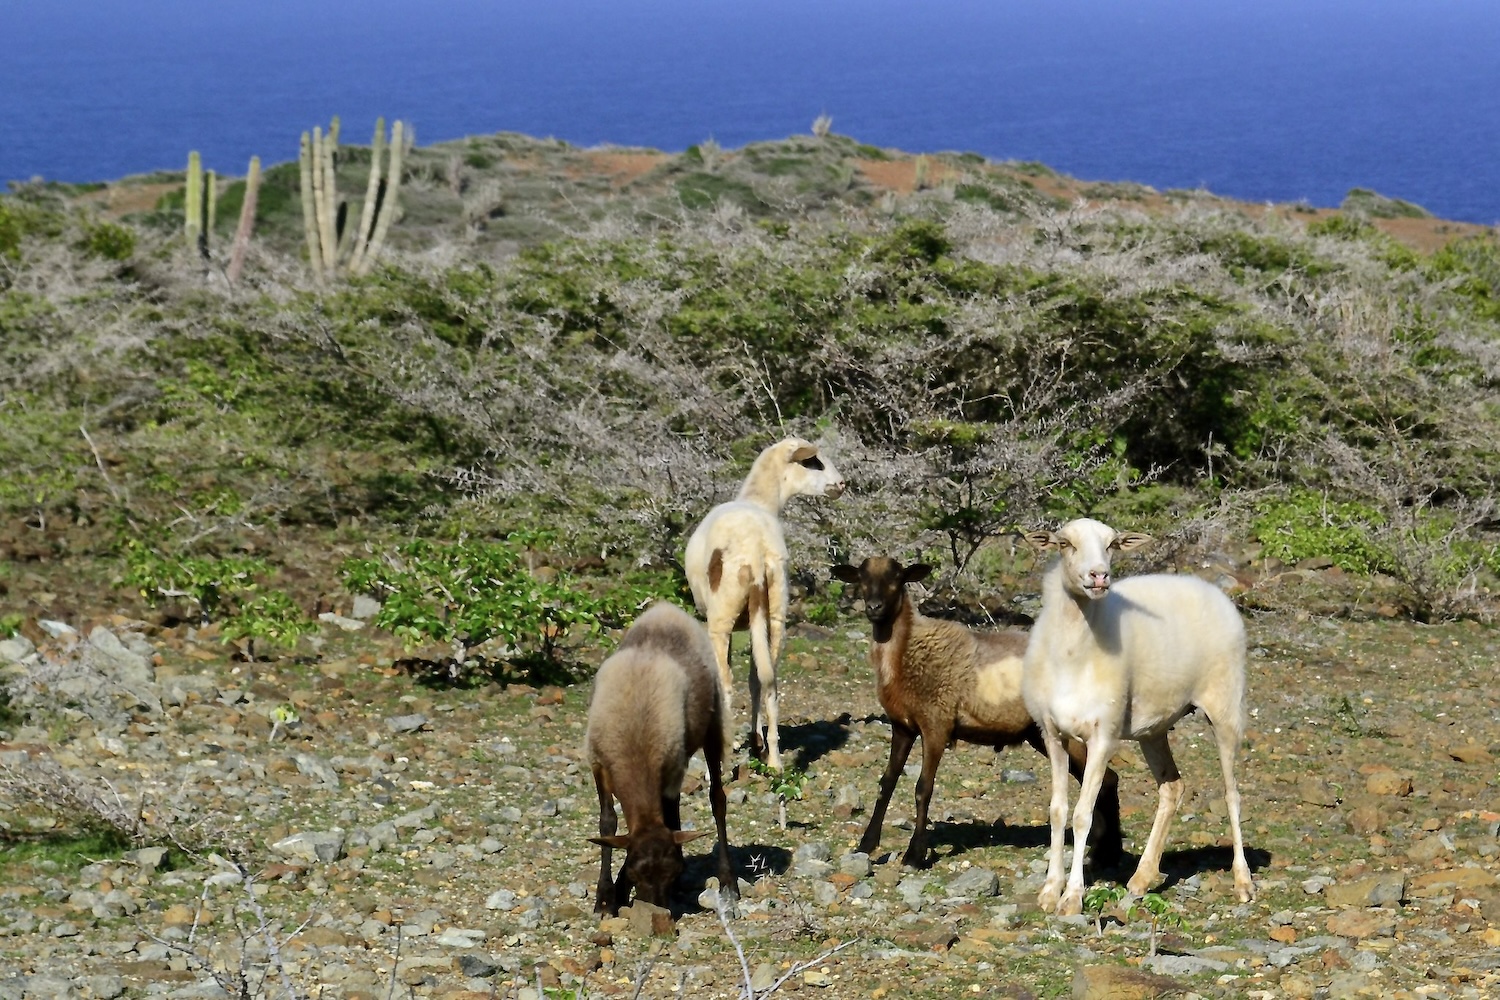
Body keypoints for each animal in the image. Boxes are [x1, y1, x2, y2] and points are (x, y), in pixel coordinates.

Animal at [582, 599, 735, 917]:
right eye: (636, 873)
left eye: (673, 872)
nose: (657, 913)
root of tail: (666, 609)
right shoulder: (599, 763)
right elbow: (608, 823)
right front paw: (606, 896)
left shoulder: (671, 767)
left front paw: (617, 890)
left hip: (711, 727)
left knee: (717, 798)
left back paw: (728, 881)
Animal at [684, 434, 846, 773]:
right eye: (814, 461)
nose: (841, 484)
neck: (759, 501)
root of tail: (756, 550)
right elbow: (756, 678)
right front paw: (756, 742)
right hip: (776, 613)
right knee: (769, 679)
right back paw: (772, 759)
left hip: (721, 618)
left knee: (726, 682)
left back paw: (720, 763)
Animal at [834, 560, 1128, 869]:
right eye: (862, 578)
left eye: (897, 578)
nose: (874, 607)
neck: (906, 649)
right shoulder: (902, 725)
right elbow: (887, 782)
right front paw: (867, 843)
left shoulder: (936, 722)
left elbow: (923, 788)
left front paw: (915, 854)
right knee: (1101, 781)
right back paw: (1105, 853)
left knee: (1106, 780)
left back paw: (1105, 853)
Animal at [1020, 521, 1254, 917]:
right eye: (1065, 544)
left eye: (1113, 545)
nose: (1099, 576)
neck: (1073, 652)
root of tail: (1211, 588)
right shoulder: (1052, 734)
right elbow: (1058, 811)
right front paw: (1050, 891)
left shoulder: (1103, 736)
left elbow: (1083, 815)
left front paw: (1072, 897)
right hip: (1154, 728)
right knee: (1172, 787)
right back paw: (1142, 877)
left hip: (1225, 707)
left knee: (1232, 793)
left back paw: (1243, 882)